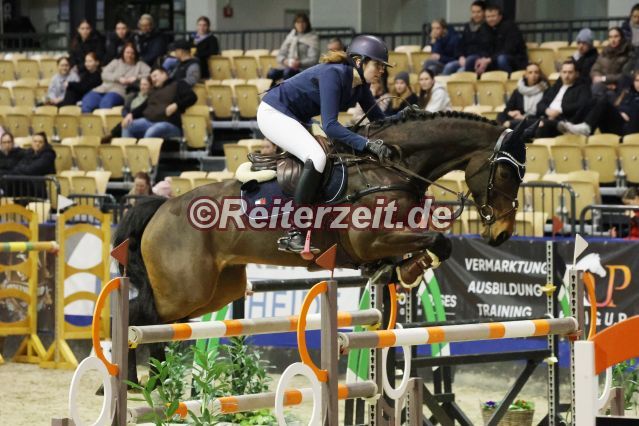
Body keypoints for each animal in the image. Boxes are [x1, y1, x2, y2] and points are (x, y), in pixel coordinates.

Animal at [114, 110, 537, 384]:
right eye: (505, 172)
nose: (502, 234)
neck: (390, 168)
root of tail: (161, 207)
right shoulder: (372, 240)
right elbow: (439, 240)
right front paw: (406, 269)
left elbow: (434, 244)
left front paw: (399, 271)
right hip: (186, 289)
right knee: (141, 318)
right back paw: (135, 381)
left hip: (217, 290)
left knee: (162, 326)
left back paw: (158, 383)